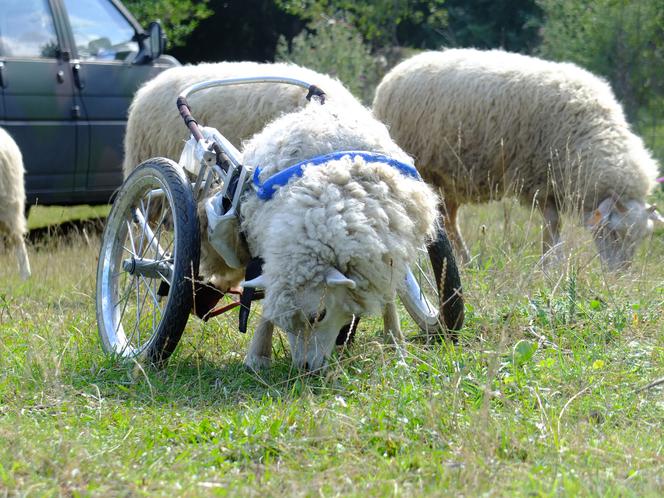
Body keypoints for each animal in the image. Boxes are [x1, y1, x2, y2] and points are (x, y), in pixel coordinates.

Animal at [236, 101, 438, 372]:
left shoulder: (385, 254)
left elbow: (388, 296)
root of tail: (319, 106)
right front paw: (258, 354)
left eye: (319, 315)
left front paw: (395, 343)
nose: (304, 369)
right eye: (283, 324)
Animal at [374, 48, 664, 270]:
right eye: (612, 232)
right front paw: (551, 264)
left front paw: (549, 263)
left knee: (448, 220)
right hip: (426, 170)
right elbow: (552, 224)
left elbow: (552, 226)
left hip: (449, 180)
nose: (620, 274)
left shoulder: (552, 181)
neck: (590, 132)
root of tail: (397, 70)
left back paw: (465, 261)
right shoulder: (537, 179)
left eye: (640, 239)